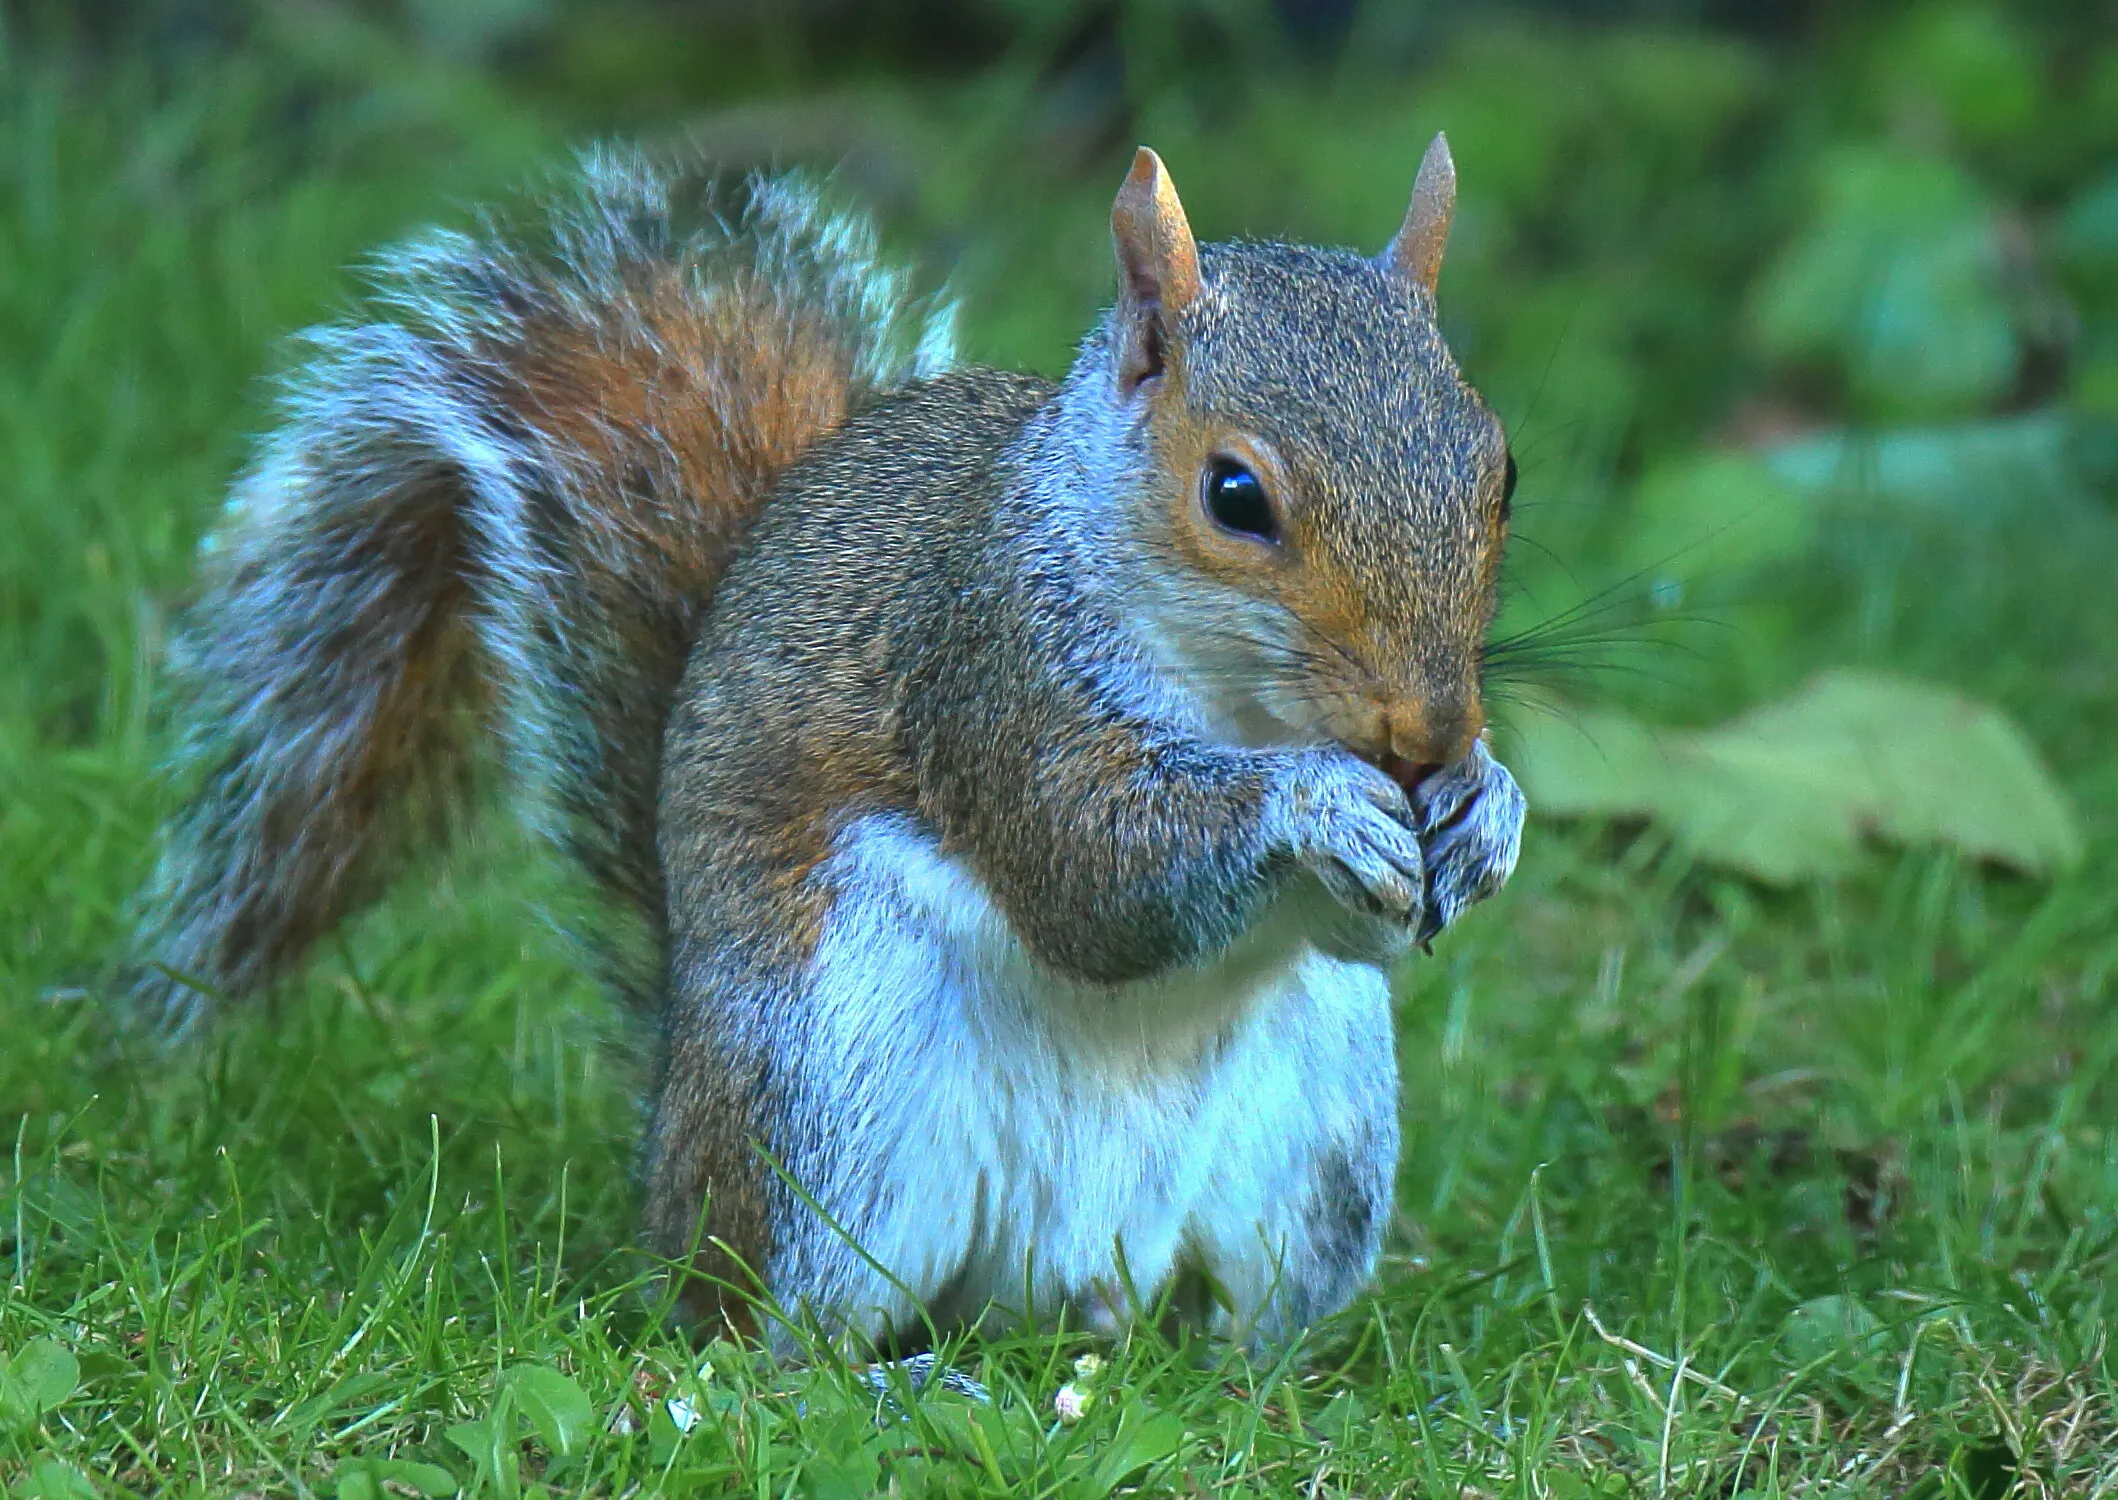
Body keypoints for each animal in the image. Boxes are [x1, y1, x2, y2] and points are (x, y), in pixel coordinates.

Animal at [134, 137, 1526, 1353]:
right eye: (1236, 496)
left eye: (1501, 469)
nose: (1427, 732)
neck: (1241, 703)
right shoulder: (986, 668)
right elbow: (1092, 876)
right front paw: (1315, 801)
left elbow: (1365, 926)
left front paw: (1486, 804)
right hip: (826, 1091)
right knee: (775, 1337)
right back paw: (898, 1372)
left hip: (1323, 1142)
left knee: (1239, 1313)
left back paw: (1226, 1369)